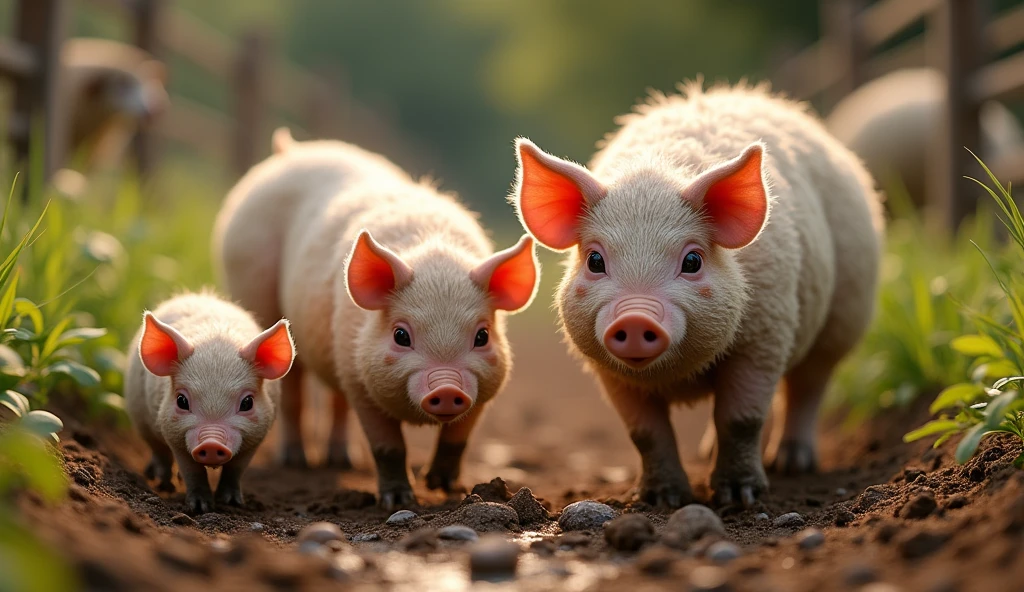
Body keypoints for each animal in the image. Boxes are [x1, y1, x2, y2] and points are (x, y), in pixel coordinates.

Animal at [123, 290, 294, 512]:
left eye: (247, 403)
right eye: (181, 401)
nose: (211, 443)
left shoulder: (257, 436)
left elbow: (235, 470)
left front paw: (232, 503)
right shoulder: (173, 433)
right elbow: (192, 470)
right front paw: (200, 507)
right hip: (141, 421)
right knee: (159, 453)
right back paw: (165, 485)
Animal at [212, 129, 540, 508]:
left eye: (482, 336)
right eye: (401, 336)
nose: (447, 388)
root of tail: (290, 151)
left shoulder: (485, 385)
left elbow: (458, 437)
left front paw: (446, 489)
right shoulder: (361, 382)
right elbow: (387, 447)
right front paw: (399, 501)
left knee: (335, 399)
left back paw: (342, 461)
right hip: (257, 294)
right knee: (293, 389)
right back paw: (296, 462)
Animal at [512, 81, 888, 508]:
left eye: (692, 260)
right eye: (594, 260)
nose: (635, 317)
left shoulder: (765, 335)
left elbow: (741, 418)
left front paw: (740, 498)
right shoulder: (608, 370)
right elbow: (645, 433)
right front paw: (661, 500)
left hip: (845, 313)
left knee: (809, 386)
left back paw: (793, 465)